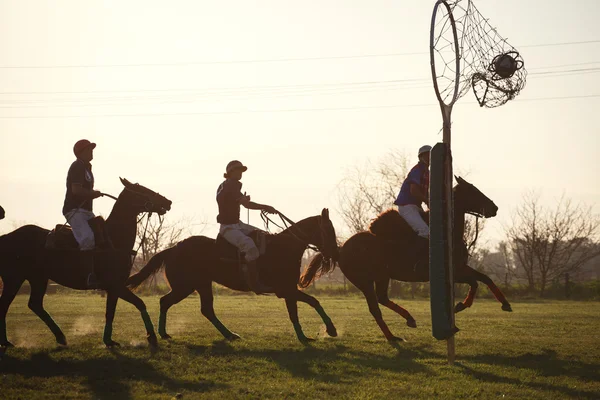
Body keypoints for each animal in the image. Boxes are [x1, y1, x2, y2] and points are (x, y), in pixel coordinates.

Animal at [0, 180, 173, 348]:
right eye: (143, 190)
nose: (168, 201)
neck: (115, 238)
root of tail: (6, 236)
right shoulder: (115, 285)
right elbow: (139, 303)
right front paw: (151, 336)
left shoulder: (113, 288)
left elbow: (111, 312)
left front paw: (109, 340)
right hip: (14, 279)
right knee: (5, 305)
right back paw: (6, 342)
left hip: (38, 278)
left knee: (35, 304)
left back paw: (60, 337)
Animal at [125, 209, 342, 344]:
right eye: (328, 230)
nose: (335, 252)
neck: (285, 248)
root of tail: (172, 249)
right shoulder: (286, 290)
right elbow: (312, 302)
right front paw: (330, 330)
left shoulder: (289, 290)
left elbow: (297, 311)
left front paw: (305, 337)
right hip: (185, 286)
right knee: (166, 301)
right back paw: (163, 333)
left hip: (201, 284)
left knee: (204, 309)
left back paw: (228, 335)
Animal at [300, 176, 510, 340]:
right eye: (472, 190)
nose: (495, 208)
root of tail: (340, 249)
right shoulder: (454, 272)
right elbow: (475, 282)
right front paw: (460, 306)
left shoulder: (460, 268)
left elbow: (484, 278)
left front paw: (505, 304)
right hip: (363, 281)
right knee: (375, 307)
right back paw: (392, 337)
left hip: (382, 276)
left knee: (382, 298)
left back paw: (409, 319)